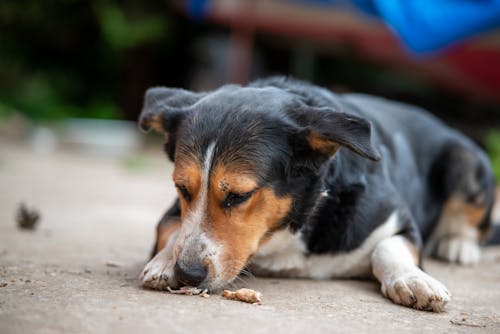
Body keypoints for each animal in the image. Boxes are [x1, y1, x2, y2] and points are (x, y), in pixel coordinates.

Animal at [137, 77, 496, 312]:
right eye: (182, 188)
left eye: (239, 195)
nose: (188, 274)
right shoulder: (172, 212)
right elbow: (172, 230)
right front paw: (163, 262)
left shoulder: (398, 219)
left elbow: (387, 247)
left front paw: (412, 279)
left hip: (465, 159)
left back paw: (457, 245)